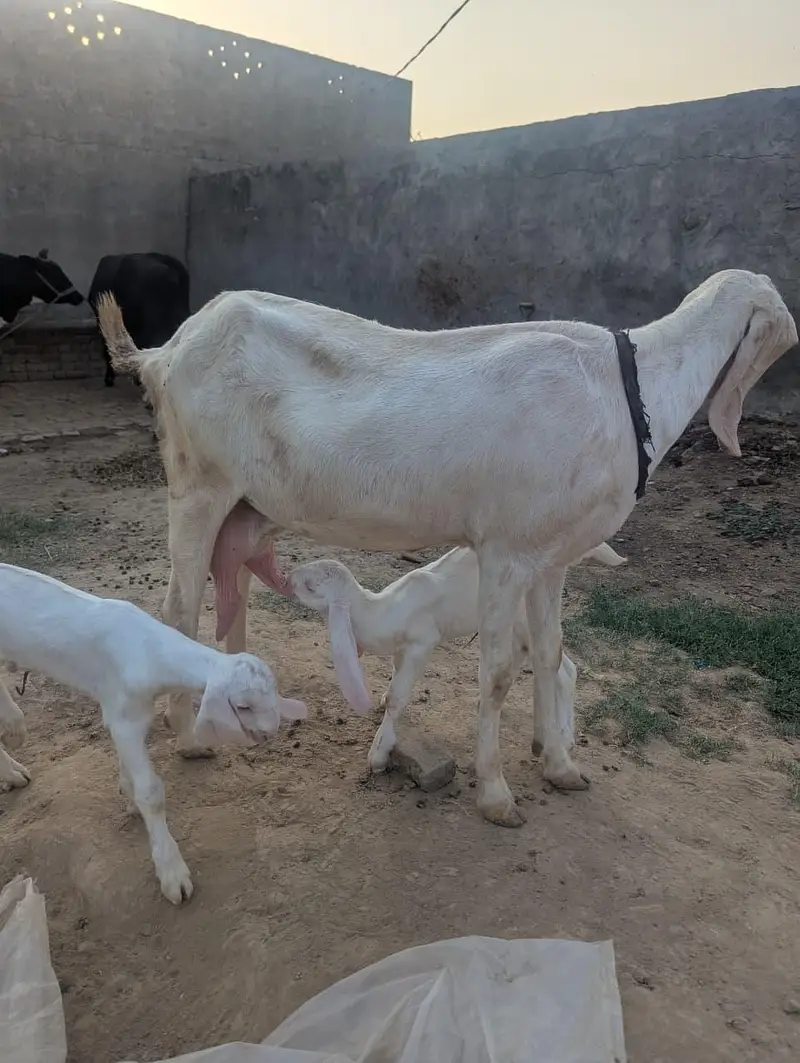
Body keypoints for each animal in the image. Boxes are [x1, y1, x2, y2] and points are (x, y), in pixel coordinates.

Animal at [0, 563, 307, 903]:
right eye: (243, 706)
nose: (269, 732)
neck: (149, 651)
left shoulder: (120, 713)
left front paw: (128, 794)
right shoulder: (126, 718)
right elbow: (152, 793)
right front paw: (172, 872)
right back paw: (13, 746)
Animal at [288, 543, 626, 773]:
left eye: (311, 585)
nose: (286, 578)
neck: (382, 610)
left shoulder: (422, 641)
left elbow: (399, 697)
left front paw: (379, 753)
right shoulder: (402, 647)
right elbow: (394, 679)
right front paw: (383, 701)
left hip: (526, 616)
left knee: (563, 667)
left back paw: (565, 738)